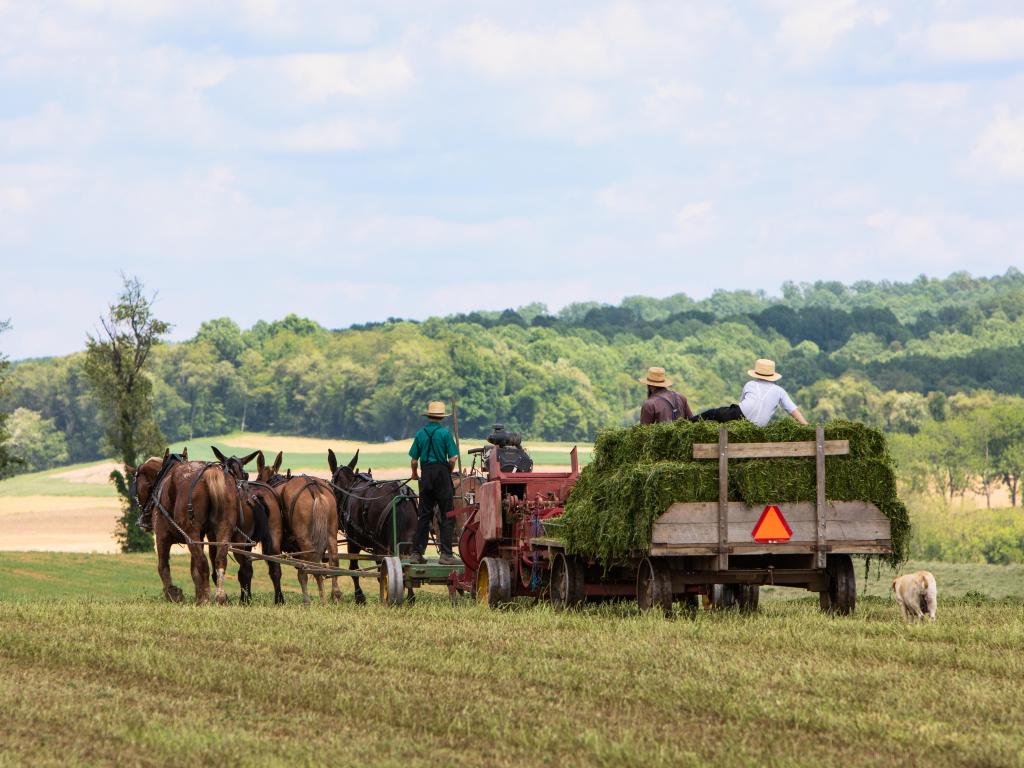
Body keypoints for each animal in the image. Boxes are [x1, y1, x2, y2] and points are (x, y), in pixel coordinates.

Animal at [128, 450, 237, 606]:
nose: (143, 519)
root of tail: (209, 473)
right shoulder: (200, 538)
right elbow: (194, 571)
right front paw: (198, 595)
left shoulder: (162, 537)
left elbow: (163, 566)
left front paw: (173, 593)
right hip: (223, 529)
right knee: (220, 560)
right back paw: (219, 598)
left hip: (191, 534)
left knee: (203, 563)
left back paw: (205, 600)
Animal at [253, 450, 342, 606]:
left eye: (258, 477)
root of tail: (313, 486)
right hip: (331, 533)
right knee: (333, 559)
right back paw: (334, 595)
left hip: (305, 540)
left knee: (310, 566)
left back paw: (315, 599)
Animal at [331, 450, 419, 606]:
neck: (350, 487)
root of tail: (400, 495)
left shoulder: (353, 541)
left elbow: (354, 568)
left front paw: (359, 596)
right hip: (408, 540)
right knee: (409, 566)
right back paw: (410, 597)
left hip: (381, 545)